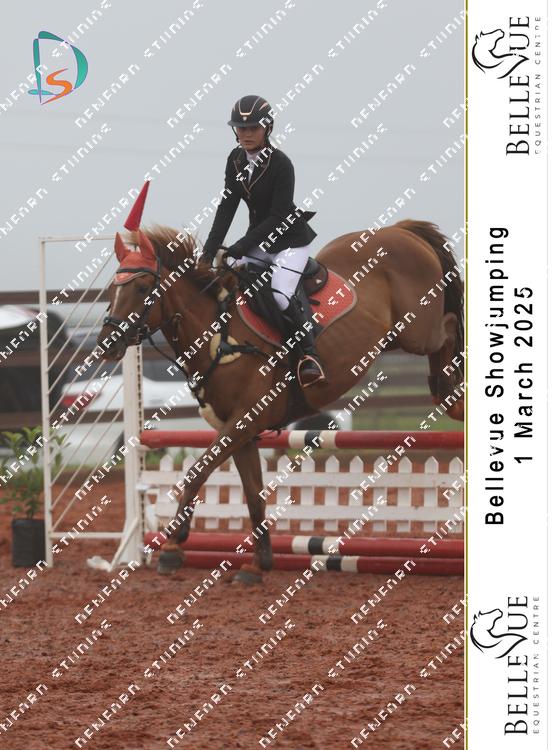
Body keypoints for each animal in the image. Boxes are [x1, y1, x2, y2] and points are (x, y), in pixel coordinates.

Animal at [97, 188, 464, 582]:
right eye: (112, 288)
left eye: (142, 287)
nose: (106, 344)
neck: (218, 334)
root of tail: (401, 230)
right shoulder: (241, 433)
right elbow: (253, 495)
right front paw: (258, 564)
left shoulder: (243, 421)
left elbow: (197, 472)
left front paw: (172, 546)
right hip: (398, 336)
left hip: (417, 330)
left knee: (449, 325)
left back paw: (451, 394)